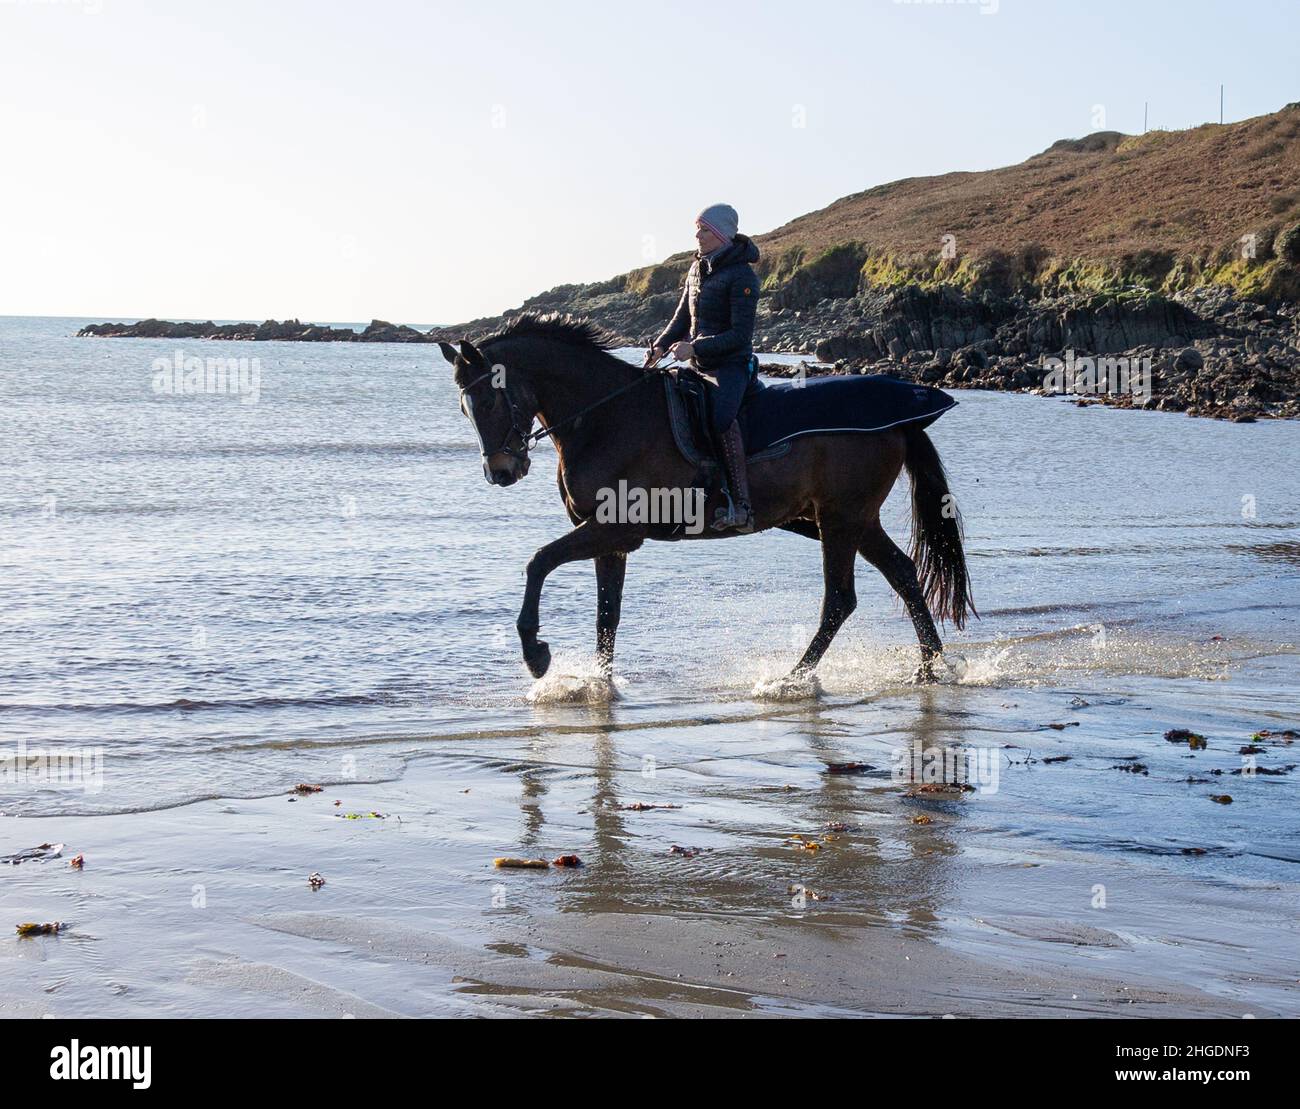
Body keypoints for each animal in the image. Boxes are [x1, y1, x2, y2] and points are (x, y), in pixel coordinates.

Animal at [438, 314, 974, 685]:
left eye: (490, 398)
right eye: (464, 407)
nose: (501, 472)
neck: (608, 417)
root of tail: (902, 421)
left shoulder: (615, 529)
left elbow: (538, 562)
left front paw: (536, 655)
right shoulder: (610, 541)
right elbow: (607, 616)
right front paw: (599, 685)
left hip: (841, 521)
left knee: (840, 599)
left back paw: (792, 679)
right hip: (853, 520)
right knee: (903, 574)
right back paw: (929, 668)